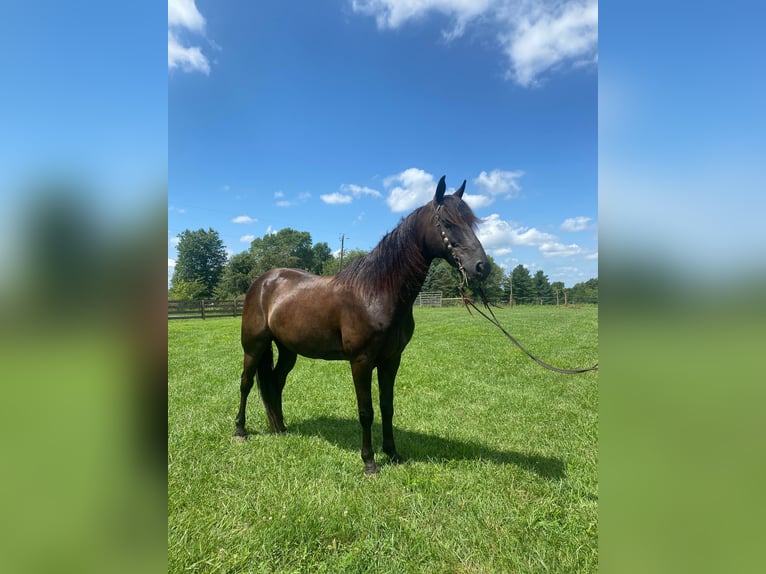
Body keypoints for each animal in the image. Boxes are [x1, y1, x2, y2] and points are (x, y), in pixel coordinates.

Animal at [234, 177, 492, 476]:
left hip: (288, 350)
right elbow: (366, 412)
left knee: (275, 382)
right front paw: (369, 461)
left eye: (471, 222)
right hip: (254, 346)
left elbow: (387, 407)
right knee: (246, 383)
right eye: (448, 223)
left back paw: (281, 428)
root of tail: (262, 281)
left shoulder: (391, 360)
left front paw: (392, 453)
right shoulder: (361, 361)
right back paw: (240, 431)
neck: (376, 292)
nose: (482, 267)